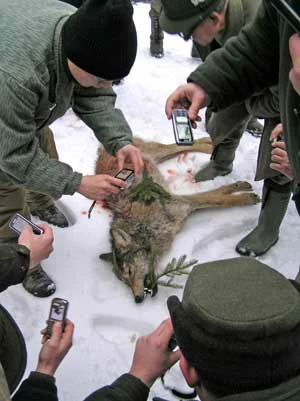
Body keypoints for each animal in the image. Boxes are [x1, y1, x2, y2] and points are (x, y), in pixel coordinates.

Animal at [96, 136, 260, 302]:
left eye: (129, 271)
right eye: (124, 282)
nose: (137, 300)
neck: (147, 226)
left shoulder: (184, 202)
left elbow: (220, 198)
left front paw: (245, 195)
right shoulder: (185, 208)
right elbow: (219, 195)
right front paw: (241, 189)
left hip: (156, 153)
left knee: (176, 146)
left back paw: (209, 146)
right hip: (157, 159)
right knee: (179, 147)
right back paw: (209, 143)